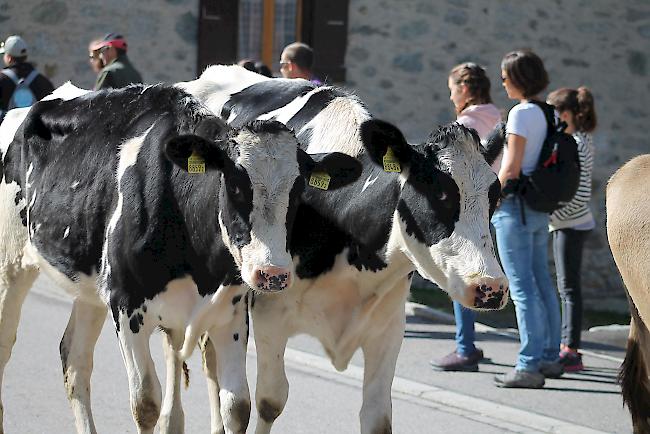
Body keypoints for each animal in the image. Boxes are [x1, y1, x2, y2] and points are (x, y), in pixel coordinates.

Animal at [0, 83, 360, 432]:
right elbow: (146, 403)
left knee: (75, 361)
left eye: (298, 191)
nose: (271, 273)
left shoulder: (230, 315)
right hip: (11, 265)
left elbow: (237, 408)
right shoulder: (125, 304)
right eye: (235, 184)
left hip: (89, 289)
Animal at [177, 65, 506, 434]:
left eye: (496, 196)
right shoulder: (269, 313)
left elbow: (377, 417)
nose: (491, 287)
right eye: (440, 193)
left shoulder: (388, 327)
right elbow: (269, 401)